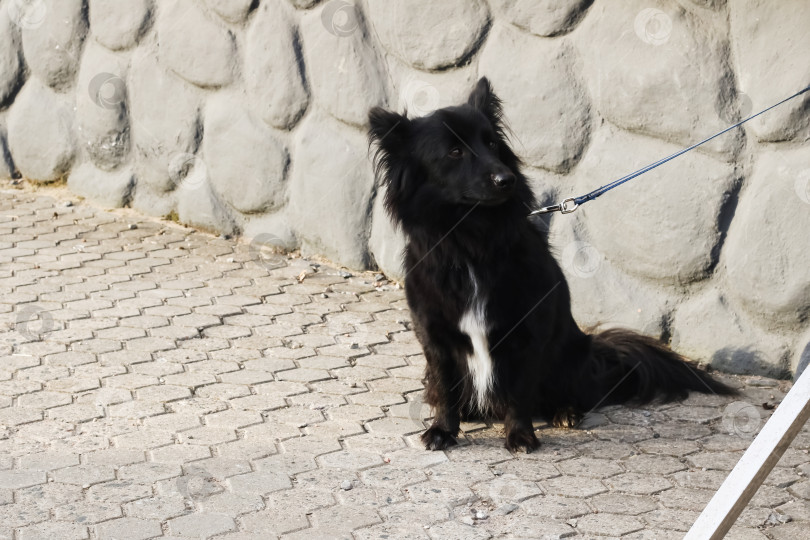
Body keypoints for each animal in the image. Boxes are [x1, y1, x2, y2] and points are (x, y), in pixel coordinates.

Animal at [366, 78, 732, 454]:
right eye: (454, 152)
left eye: (492, 143)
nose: (507, 179)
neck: (472, 239)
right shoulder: (433, 333)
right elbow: (445, 386)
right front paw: (442, 429)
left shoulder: (528, 331)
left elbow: (519, 390)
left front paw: (520, 435)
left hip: (569, 357)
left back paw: (565, 412)